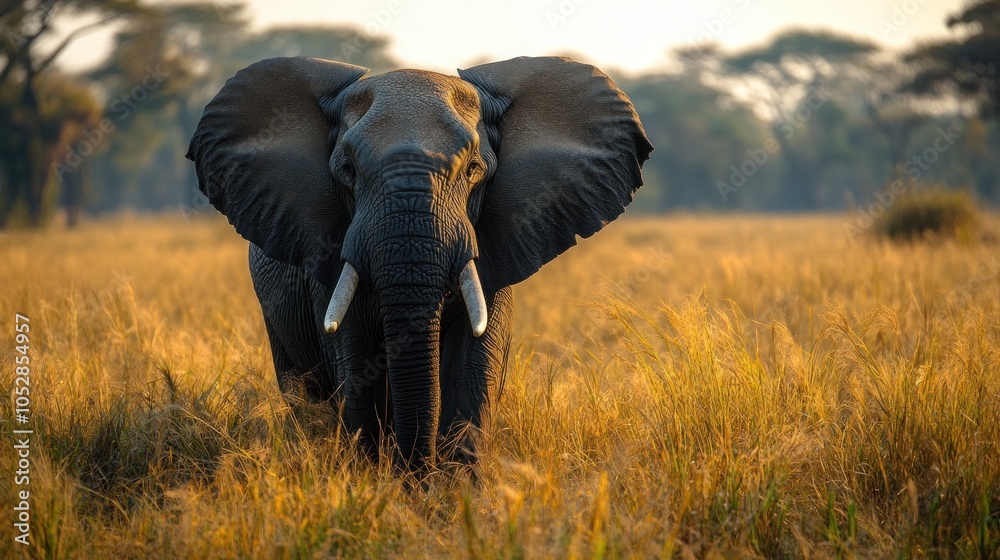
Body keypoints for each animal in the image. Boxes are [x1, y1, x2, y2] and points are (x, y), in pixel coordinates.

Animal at [186, 55, 652, 472]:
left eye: (474, 169)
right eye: (347, 170)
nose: (417, 473)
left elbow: (472, 368)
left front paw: (451, 498)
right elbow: (359, 369)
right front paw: (380, 486)